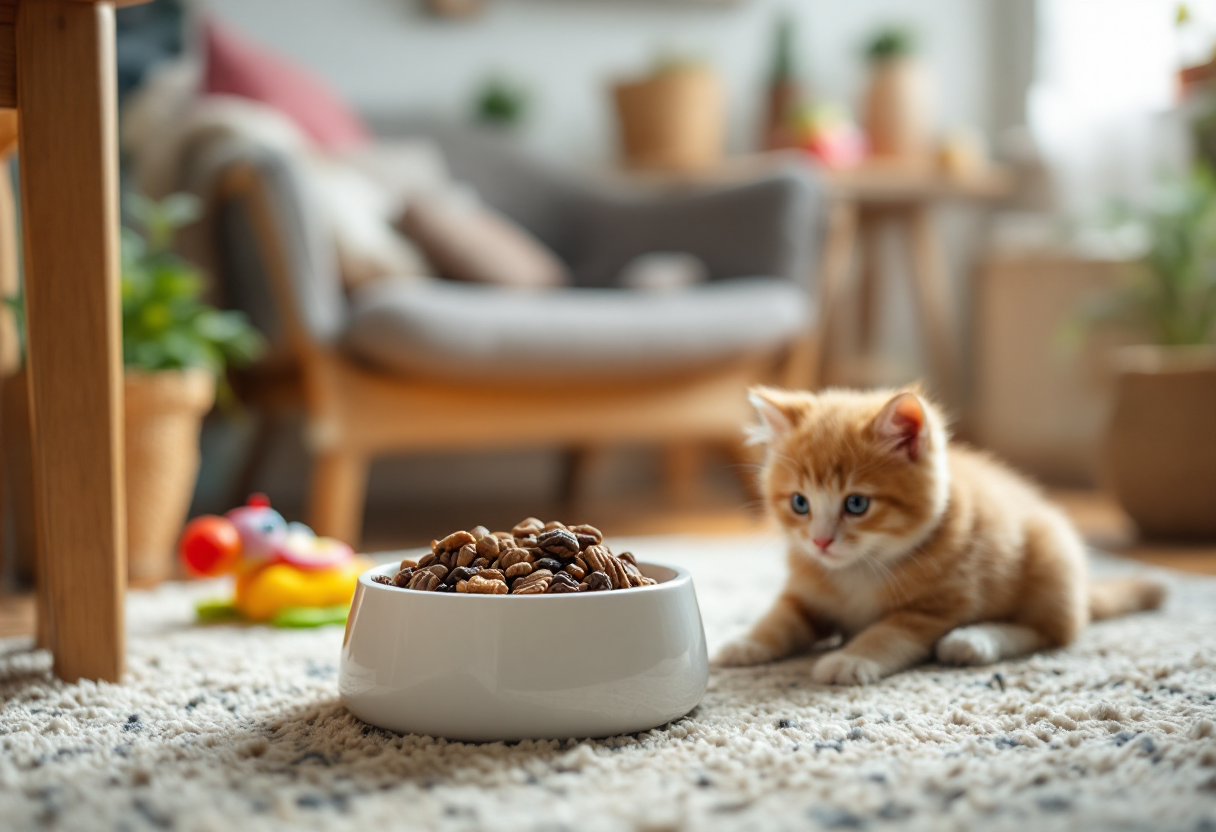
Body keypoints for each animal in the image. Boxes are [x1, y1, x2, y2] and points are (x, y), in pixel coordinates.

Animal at [715, 386, 1162, 686]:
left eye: (856, 504)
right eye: (799, 503)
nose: (820, 542)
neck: (861, 568)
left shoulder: (939, 603)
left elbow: (888, 632)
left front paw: (850, 659)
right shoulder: (806, 591)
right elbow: (781, 617)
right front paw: (747, 642)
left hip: (1051, 557)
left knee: (1051, 630)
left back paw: (973, 640)